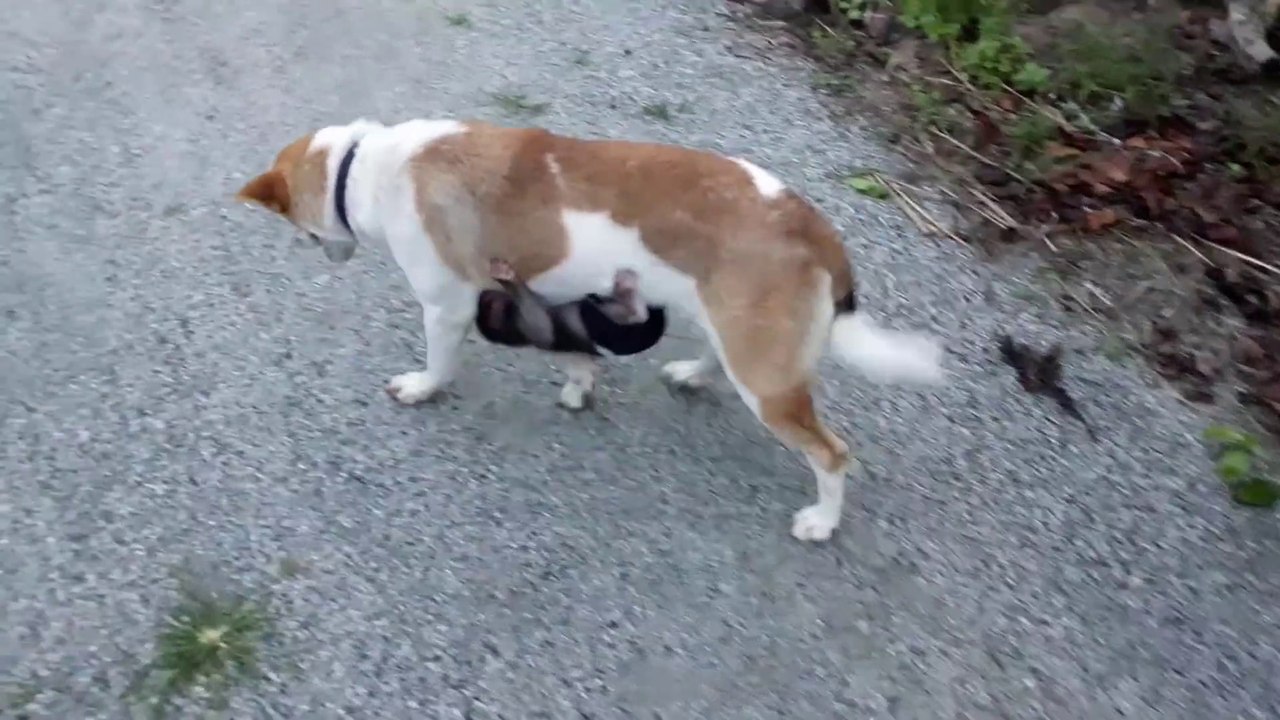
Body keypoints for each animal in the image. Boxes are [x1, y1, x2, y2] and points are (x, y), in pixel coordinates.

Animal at [474, 258, 667, 357]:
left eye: (487, 297)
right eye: (489, 303)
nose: (483, 294)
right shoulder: (534, 328)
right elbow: (542, 324)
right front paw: (507, 277)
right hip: (602, 319)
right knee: (634, 314)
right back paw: (628, 291)